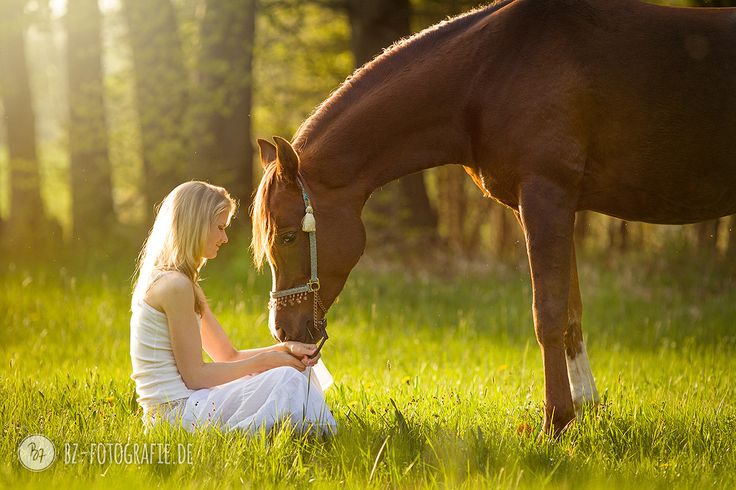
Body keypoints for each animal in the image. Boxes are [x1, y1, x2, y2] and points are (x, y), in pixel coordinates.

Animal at [252, 0, 736, 434]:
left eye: (290, 236)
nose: (282, 331)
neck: (490, 73)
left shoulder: (545, 197)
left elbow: (548, 314)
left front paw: (556, 423)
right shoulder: (556, 208)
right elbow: (572, 314)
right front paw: (585, 409)